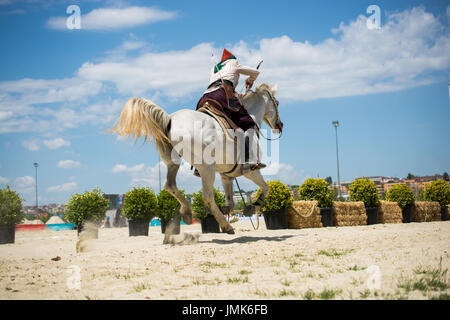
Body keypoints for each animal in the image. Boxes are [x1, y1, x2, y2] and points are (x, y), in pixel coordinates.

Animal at [110, 82, 284, 234]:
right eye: (277, 102)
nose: (280, 125)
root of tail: (170, 119)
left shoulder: (226, 176)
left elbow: (231, 201)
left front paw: (231, 211)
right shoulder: (251, 171)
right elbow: (265, 187)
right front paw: (253, 206)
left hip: (174, 162)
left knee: (170, 185)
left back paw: (188, 212)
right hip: (207, 168)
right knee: (207, 196)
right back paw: (226, 226)